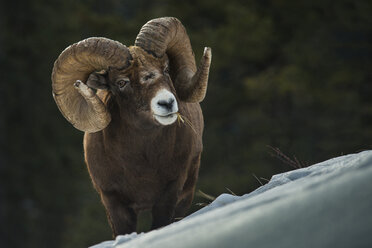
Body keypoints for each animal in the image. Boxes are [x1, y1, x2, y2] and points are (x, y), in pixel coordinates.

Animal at [50, 17, 211, 234]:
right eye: (121, 82)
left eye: (165, 69)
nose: (167, 103)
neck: (141, 162)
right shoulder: (114, 202)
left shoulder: (170, 193)